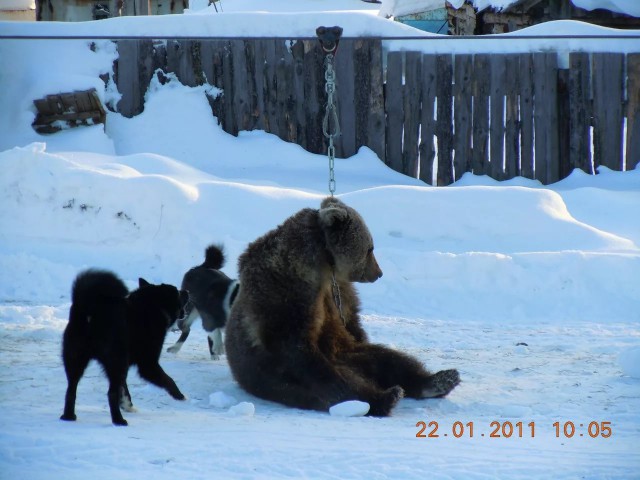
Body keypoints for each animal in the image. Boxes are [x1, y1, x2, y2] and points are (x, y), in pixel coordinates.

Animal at [59, 270, 190, 424]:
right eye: (177, 292)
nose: (187, 291)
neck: (153, 307)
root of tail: (90, 310)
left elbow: (124, 387)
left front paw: (127, 405)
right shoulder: (147, 364)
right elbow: (168, 380)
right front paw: (180, 396)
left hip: (76, 359)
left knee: (71, 390)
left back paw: (69, 416)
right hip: (116, 359)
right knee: (111, 393)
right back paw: (118, 420)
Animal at [225, 195, 460, 416]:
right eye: (370, 248)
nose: (378, 273)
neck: (322, 262)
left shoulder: (337, 291)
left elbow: (350, 320)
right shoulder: (289, 291)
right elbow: (296, 345)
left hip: (355, 354)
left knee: (391, 359)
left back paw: (439, 380)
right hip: (279, 379)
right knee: (335, 386)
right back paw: (383, 398)